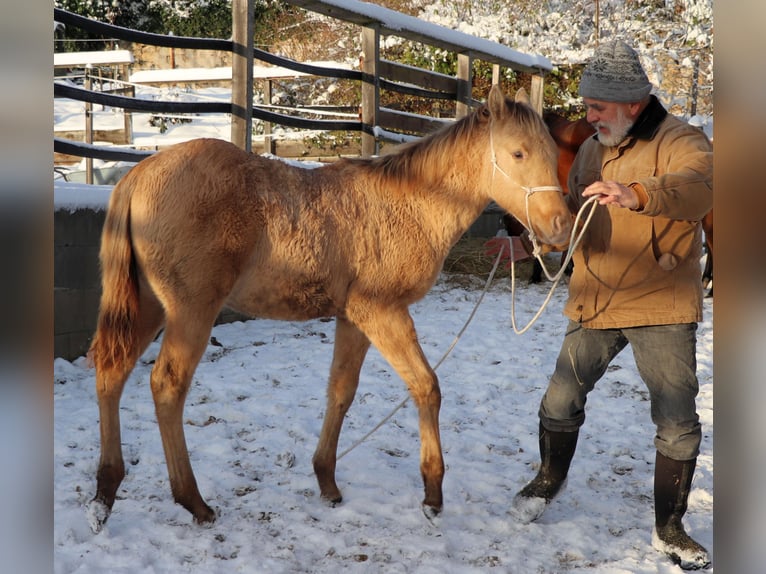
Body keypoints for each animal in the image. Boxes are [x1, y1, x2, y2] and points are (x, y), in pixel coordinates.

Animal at [87, 84, 572, 532]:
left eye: (552, 153)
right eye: (517, 153)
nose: (560, 227)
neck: (411, 203)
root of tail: (138, 176)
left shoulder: (352, 318)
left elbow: (341, 390)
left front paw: (327, 482)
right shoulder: (381, 311)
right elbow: (426, 387)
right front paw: (432, 495)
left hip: (148, 307)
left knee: (111, 371)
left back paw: (105, 494)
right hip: (191, 311)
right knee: (167, 385)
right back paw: (193, 501)